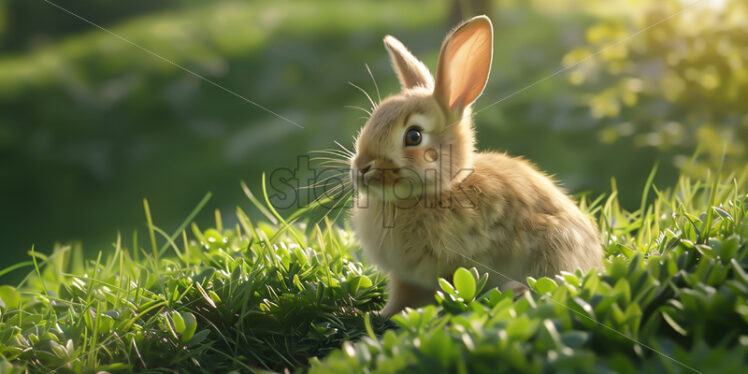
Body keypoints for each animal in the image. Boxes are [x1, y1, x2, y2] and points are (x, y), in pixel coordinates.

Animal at [350, 16, 600, 318]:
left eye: (414, 136)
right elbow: (401, 297)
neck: (438, 191)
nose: (361, 167)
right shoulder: (405, 277)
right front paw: (381, 314)